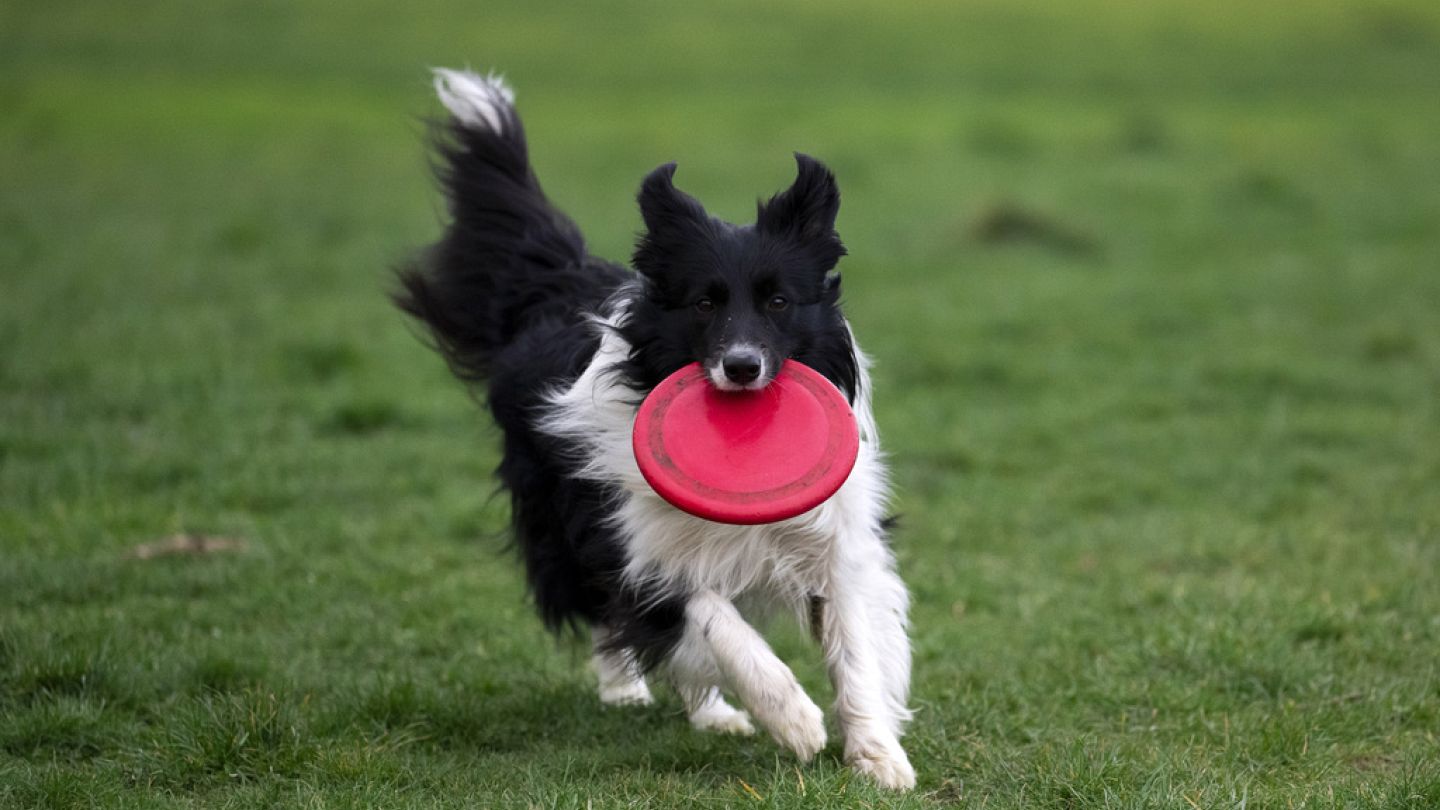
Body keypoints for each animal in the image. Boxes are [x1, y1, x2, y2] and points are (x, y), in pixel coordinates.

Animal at [394, 69, 910, 789]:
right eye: (704, 302)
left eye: (780, 301)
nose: (741, 367)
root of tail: (563, 280)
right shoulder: (636, 542)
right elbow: (710, 620)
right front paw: (793, 718)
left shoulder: (838, 538)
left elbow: (856, 646)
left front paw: (877, 756)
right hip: (562, 520)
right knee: (613, 613)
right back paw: (635, 693)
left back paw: (713, 715)